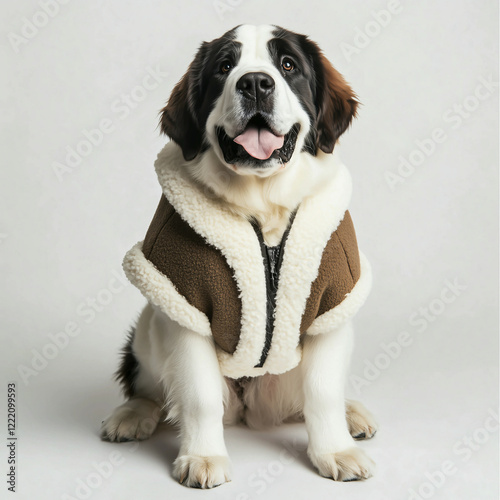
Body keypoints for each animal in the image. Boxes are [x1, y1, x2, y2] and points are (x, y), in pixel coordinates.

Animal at [100, 24, 376, 488]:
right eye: (225, 66)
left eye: (288, 65)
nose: (255, 83)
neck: (262, 205)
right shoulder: (185, 304)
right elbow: (200, 395)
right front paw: (203, 457)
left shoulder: (333, 302)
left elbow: (322, 390)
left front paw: (335, 450)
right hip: (150, 327)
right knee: (150, 385)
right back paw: (132, 415)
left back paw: (351, 413)